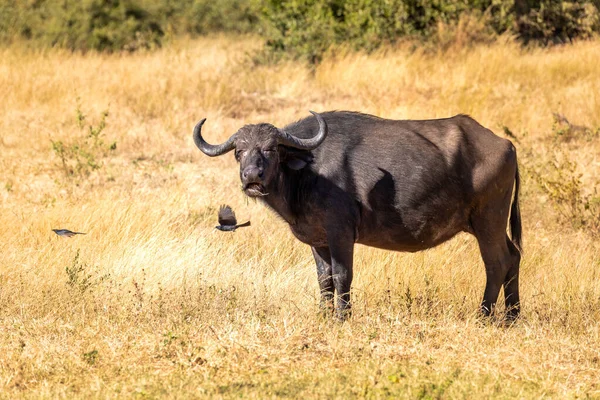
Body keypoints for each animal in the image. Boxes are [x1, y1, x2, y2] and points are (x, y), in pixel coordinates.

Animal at [193, 111, 520, 320]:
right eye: (239, 151)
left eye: (272, 149)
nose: (252, 177)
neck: (308, 173)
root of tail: (505, 145)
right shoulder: (318, 239)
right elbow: (324, 278)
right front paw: (323, 315)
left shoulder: (341, 233)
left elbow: (342, 275)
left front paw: (342, 317)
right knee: (514, 256)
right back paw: (513, 315)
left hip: (488, 221)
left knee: (496, 262)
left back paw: (484, 315)